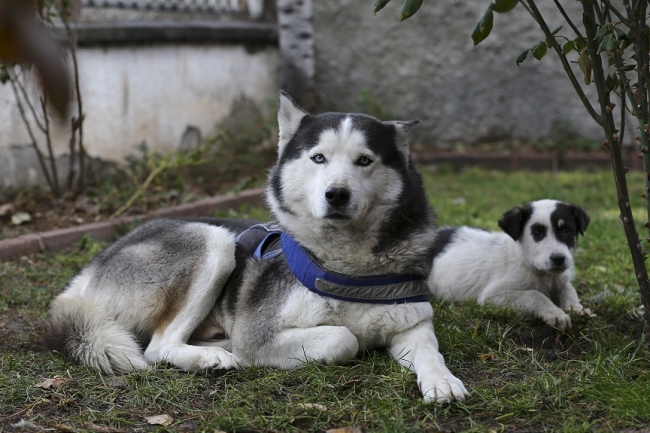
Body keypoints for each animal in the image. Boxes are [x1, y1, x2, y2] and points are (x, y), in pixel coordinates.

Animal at [48, 92, 468, 404]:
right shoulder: (260, 333)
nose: (336, 194)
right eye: (318, 158)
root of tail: (87, 273)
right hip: (212, 241)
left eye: (364, 160)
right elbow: (344, 337)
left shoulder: (413, 320)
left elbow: (430, 349)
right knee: (158, 346)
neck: (346, 267)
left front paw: (442, 381)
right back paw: (212, 356)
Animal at [428, 200, 588, 330]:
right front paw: (555, 313)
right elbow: (535, 294)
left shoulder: (560, 280)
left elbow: (569, 289)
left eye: (566, 230)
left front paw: (576, 308)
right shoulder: (491, 296)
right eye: (537, 232)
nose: (558, 259)